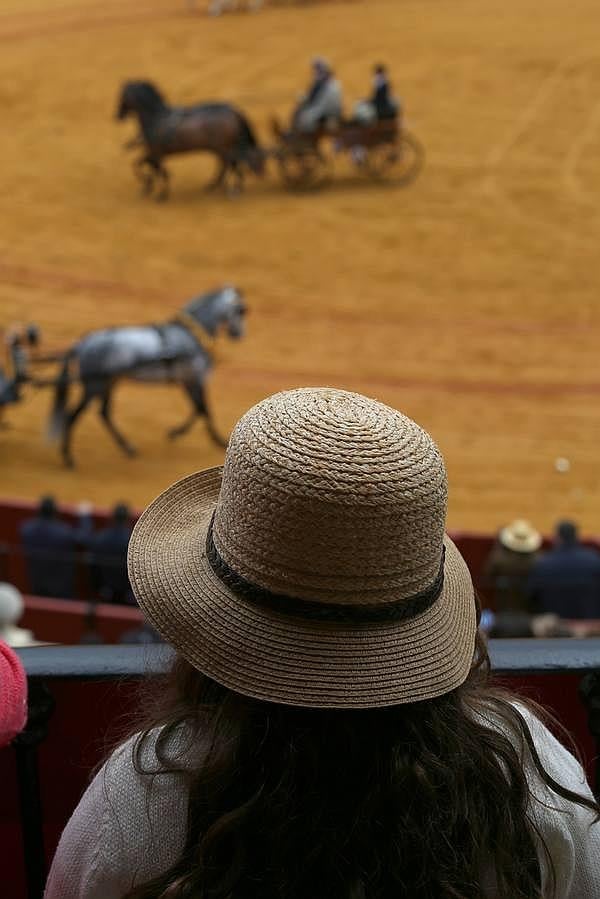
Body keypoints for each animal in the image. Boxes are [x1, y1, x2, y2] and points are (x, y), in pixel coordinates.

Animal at [48, 288, 246, 468]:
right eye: (240, 311)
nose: (239, 334)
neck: (189, 337)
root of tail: (82, 344)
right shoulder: (194, 380)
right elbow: (203, 409)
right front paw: (217, 440)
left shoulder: (187, 382)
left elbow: (198, 409)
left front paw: (176, 433)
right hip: (94, 386)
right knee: (73, 415)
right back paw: (68, 458)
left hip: (108, 383)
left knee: (104, 413)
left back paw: (127, 447)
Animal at [117, 81, 264, 200]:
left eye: (123, 97)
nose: (118, 115)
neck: (156, 118)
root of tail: (233, 111)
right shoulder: (153, 153)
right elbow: (139, 165)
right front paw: (148, 187)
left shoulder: (157, 154)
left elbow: (159, 171)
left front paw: (161, 194)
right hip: (220, 149)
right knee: (227, 164)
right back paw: (215, 185)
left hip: (224, 148)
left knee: (232, 164)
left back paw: (233, 190)